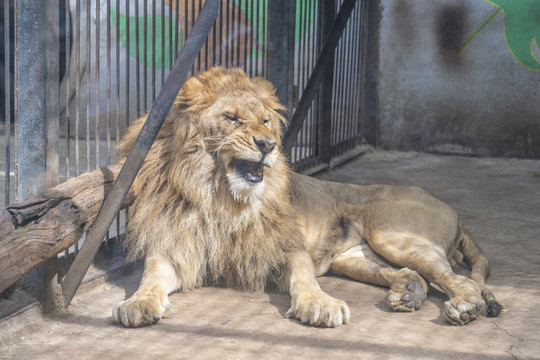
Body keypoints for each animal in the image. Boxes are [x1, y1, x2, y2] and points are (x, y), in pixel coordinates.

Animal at [113, 66, 502, 328]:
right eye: (232, 118)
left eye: (266, 121)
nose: (267, 145)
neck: (220, 196)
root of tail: (451, 209)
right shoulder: (174, 248)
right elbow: (151, 277)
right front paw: (137, 303)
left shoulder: (287, 247)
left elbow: (304, 278)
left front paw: (320, 305)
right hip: (355, 257)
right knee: (413, 273)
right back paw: (407, 292)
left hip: (392, 235)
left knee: (460, 279)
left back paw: (464, 307)